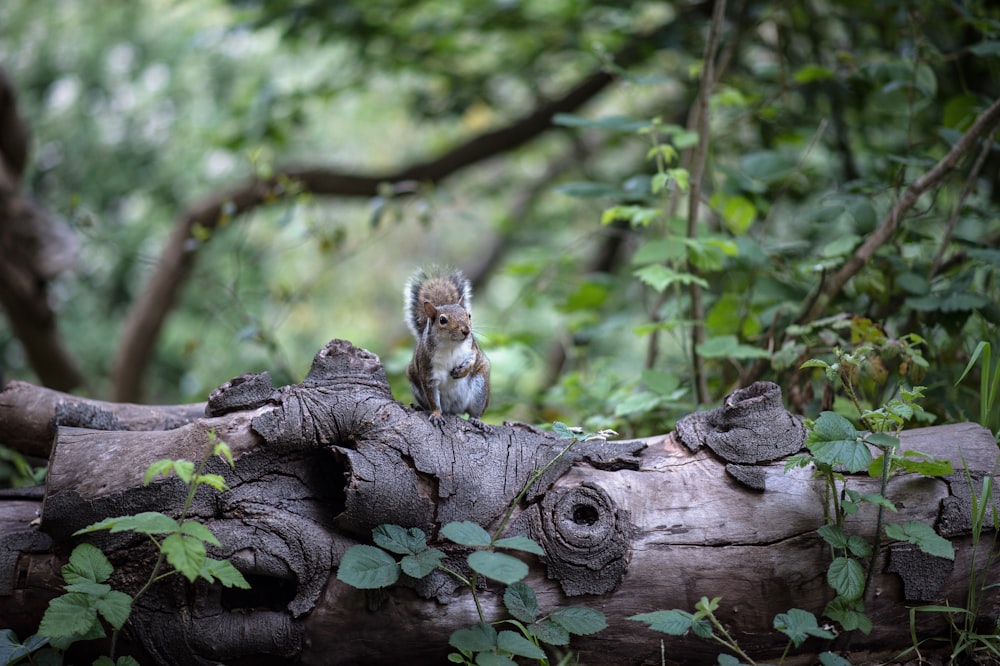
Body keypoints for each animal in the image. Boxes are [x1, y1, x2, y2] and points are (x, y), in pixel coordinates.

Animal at [400, 268, 490, 428]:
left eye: (468, 315)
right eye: (442, 320)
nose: (466, 331)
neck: (450, 345)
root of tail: (454, 409)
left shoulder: (471, 347)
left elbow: (473, 358)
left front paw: (461, 371)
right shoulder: (428, 371)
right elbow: (433, 400)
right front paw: (436, 414)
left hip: (480, 388)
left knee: (475, 411)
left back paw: (477, 420)